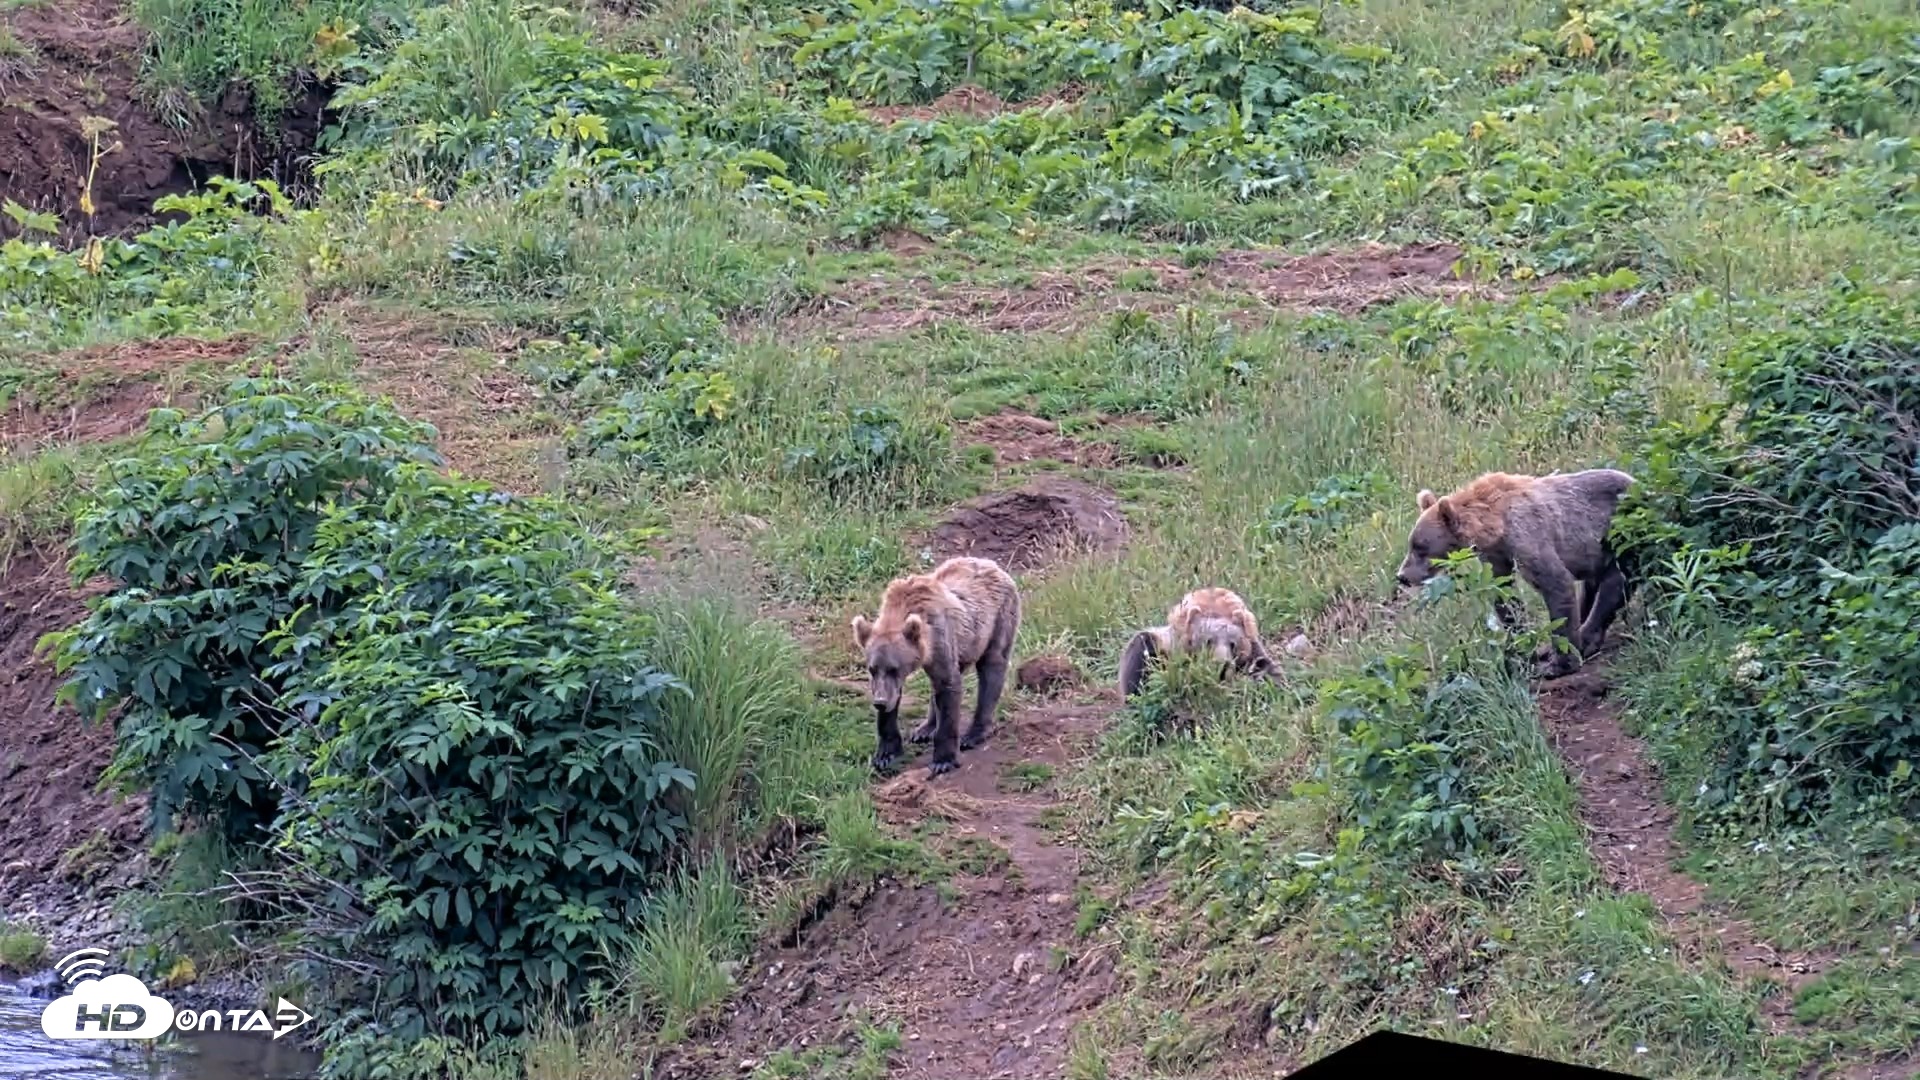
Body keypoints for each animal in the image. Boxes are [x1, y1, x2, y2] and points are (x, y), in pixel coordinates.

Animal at [851, 555, 1021, 776]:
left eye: (893, 668)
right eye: (871, 669)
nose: (879, 702)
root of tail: (992, 564)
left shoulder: (940, 636)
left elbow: (948, 685)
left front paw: (943, 760)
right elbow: (895, 698)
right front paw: (885, 755)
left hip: (998, 618)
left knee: (992, 666)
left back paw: (974, 734)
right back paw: (924, 729)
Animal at [1118, 587, 1279, 699]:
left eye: (1233, 644)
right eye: (1208, 641)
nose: (1222, 665)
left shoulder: (1252, 648)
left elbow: (1267, 671)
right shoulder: (1173, 647)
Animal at [1395, 469, 1635, 677]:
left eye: (1420, 548)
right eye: (1411, 544)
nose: (1402, 576)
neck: (1495, 524)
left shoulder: (1527, 535)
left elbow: (1555, 584)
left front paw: (1559, 664)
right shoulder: (1496, 555)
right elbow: (1504, 594)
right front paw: (1522, 646)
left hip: (1620, 532)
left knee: (1616, 583)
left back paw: (1586, 639)